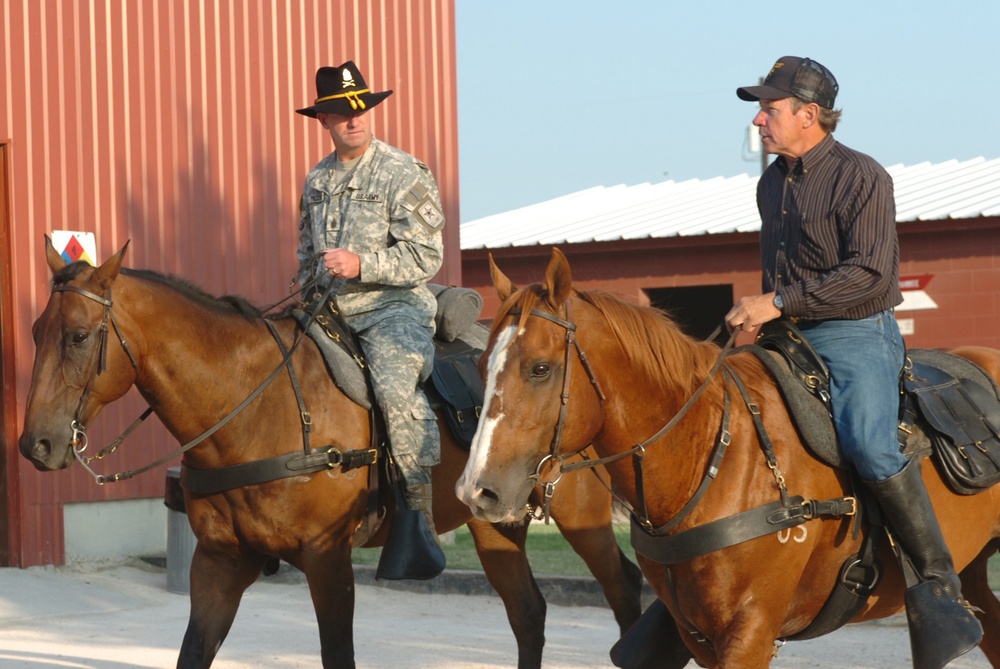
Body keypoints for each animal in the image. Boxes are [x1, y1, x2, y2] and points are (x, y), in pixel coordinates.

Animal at [19, 237, 656, 664]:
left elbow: (337, 655)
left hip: (579, 513)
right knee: (528, 614)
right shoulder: (219, 563)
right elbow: (193, 651)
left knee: (625, 592)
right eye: (34, 332)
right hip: (493, 520)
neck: (255, 410)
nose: (35, 444)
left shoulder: (328, 561)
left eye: (79, 336)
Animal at [458, 249, 1000, 668]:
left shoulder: (751, 632)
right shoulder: (699, 635)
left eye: (540, 368)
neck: (713, 454)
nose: (476, 490)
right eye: (481, 366)